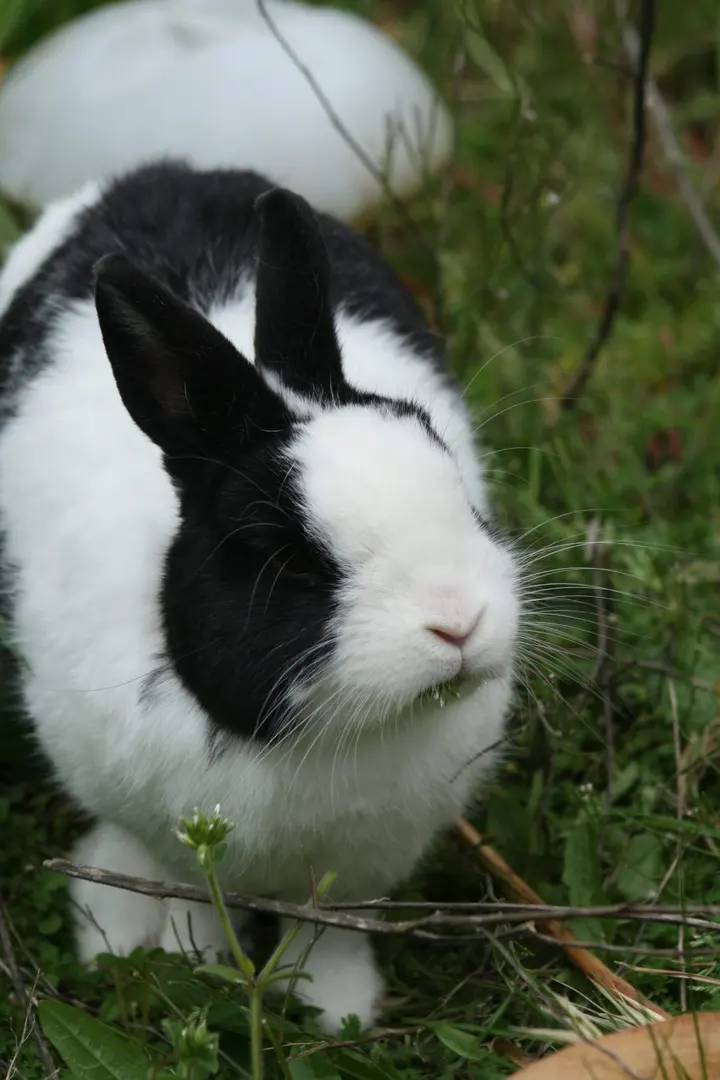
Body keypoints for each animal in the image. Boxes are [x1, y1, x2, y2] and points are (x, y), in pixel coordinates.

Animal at [0, 160, 519, 1034]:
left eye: (457, 488)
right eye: (287, 561)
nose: (458, 623)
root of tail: (166, 170)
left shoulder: (354, 870)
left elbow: (330, 929)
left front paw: (340, 1010)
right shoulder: (174, 837)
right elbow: (188, 895)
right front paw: (187, 964)